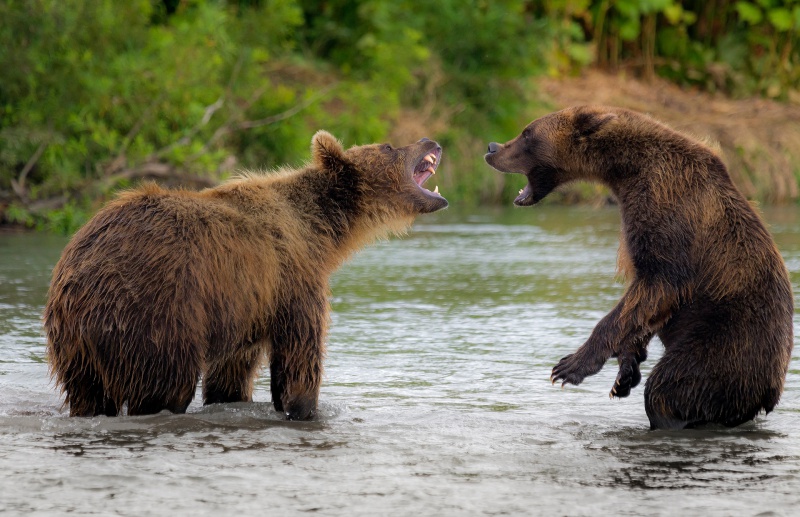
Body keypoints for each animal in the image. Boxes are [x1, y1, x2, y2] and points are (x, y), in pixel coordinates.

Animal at [43, 130, 446, 420]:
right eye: (390, 145)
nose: (432, 141)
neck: (322, 230)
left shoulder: (245, 304)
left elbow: (231, 374)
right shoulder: (292, 277)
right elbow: (300, 355)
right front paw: (303, 407)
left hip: (77, 349)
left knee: (89, 396)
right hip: (155, 313)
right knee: (166, 387)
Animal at [484, 104, 792, 428]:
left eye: (527, 133)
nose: (492, 147)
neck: (625, 171)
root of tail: (771, 392)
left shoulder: (667, 207)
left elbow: (657, 284)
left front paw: (568, 366)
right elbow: (643, 304)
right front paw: (624, 374)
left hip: (728, 342)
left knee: (671, 387)